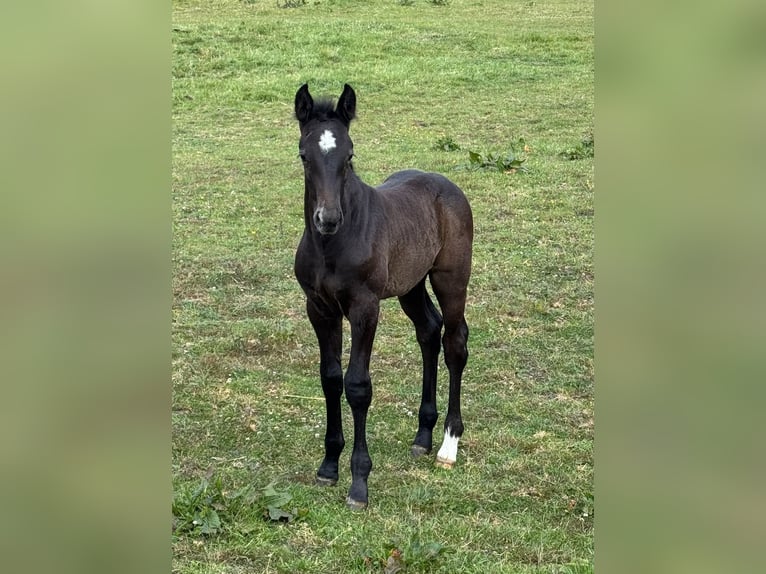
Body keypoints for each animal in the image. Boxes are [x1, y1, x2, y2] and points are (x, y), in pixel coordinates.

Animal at [293, 83, 473, 509]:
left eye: (349, 154)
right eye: (304, 155)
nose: (327, 219)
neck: (332, 245)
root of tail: (446, 185)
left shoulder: (364, 308)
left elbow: (358, 386)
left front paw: (359, 482)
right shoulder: (319, 309)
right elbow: (330, 378)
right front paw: (329, 467)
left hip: (451, 279)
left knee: (455, 342)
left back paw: (448, 445)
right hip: (411, 285)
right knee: (429, 331)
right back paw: (423, 436)